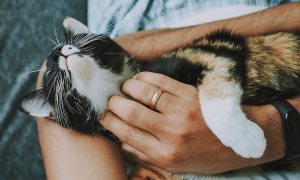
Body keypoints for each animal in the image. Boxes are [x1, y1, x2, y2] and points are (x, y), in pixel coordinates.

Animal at [21, 17, 300, 161]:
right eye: (50, 73)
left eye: (75, 40)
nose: (57, 52)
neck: (117, 89)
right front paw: (248, 140)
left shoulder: (213, 49)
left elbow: (214, 99)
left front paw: (247, 140)